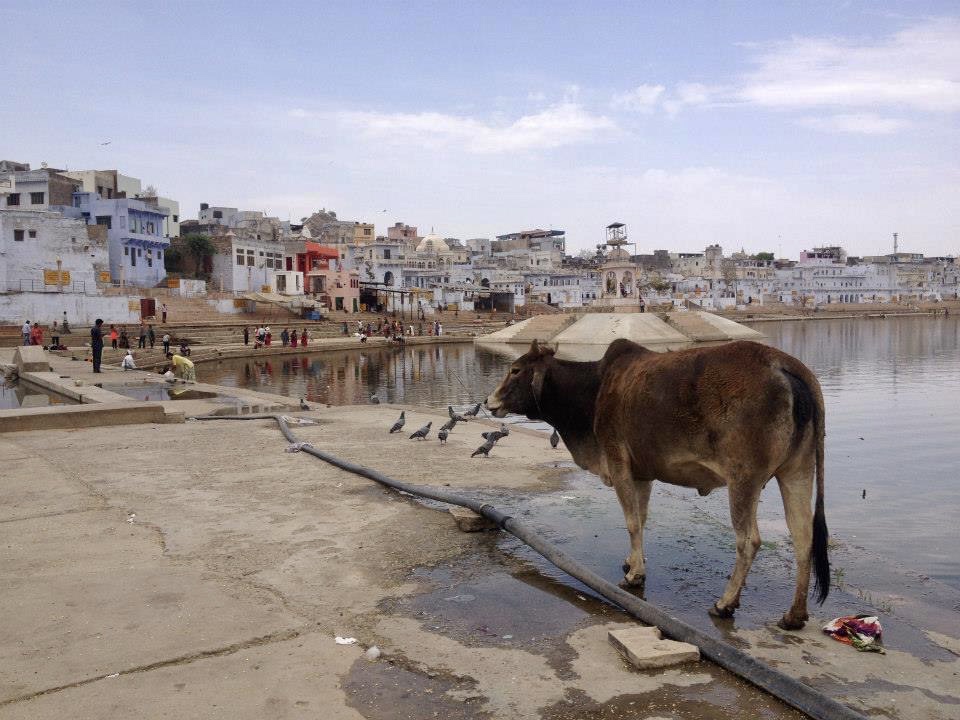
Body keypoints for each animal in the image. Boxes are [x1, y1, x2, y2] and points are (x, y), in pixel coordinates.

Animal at [492, 338, 828, 632]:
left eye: (516, 370)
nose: (489, 401)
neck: (594, 390)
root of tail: (784, 364)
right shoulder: (642, 474)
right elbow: (640, 519)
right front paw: (633, 562)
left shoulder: (618, 461)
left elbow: (631, 522)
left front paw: (634, 576)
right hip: (797, 471)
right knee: (803, 537)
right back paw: (794, 615)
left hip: (744, 479)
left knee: (749, 541)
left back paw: (725, 603)